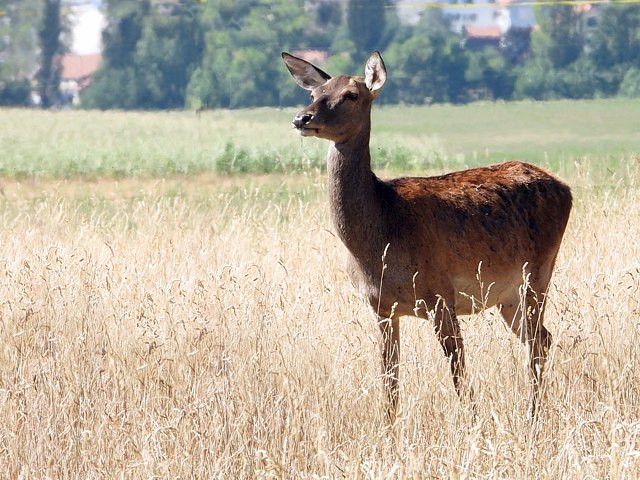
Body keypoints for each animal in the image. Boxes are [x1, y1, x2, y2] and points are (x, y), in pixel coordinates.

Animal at [282, 50, 572, 422]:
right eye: (315, 93)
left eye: (351, 95)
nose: (302, 118)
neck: (381, 241)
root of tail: (565, 188)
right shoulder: (380, 308)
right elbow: (390, 382)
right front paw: (389, 430)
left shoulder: (440, 296)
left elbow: (459, 374)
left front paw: (473, 424)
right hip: (507, 296)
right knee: (543, 338)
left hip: (540, 271)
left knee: (537, 342)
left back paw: (532, 415)